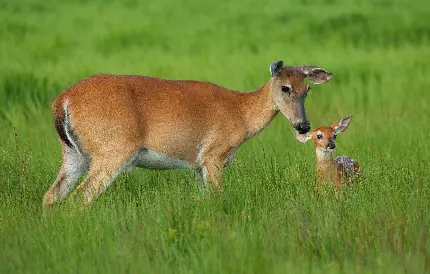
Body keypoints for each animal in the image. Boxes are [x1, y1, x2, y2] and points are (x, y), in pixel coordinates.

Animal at [42, 61, 332, 207]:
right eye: (285, 88)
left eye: (307, 90)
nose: (303, 126)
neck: (241, 113)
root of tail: (63, 99)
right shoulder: (214, 155)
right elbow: (217, 199)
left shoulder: (197, 165)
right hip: (113, 150)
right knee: (80, 198)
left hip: (74, 153)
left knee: (52, 195)